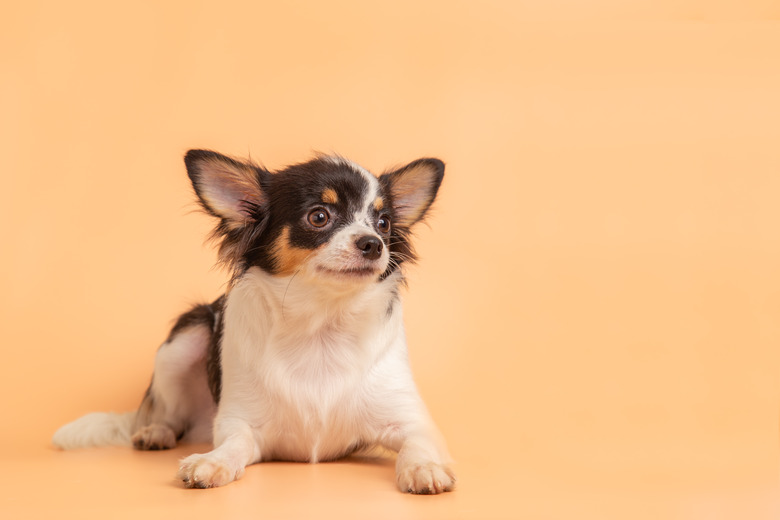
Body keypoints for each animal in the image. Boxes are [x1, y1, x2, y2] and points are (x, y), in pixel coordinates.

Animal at [53, 148, 458, 494]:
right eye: (319, 216)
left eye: (385, 223)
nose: (374, 243)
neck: (321, 325)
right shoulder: (238, 423)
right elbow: (234, 445)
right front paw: (212, 462)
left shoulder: (413, 421)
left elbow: (418, 445)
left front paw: (424, 467)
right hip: (184, 340)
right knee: (171, 416)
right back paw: (157, 433)